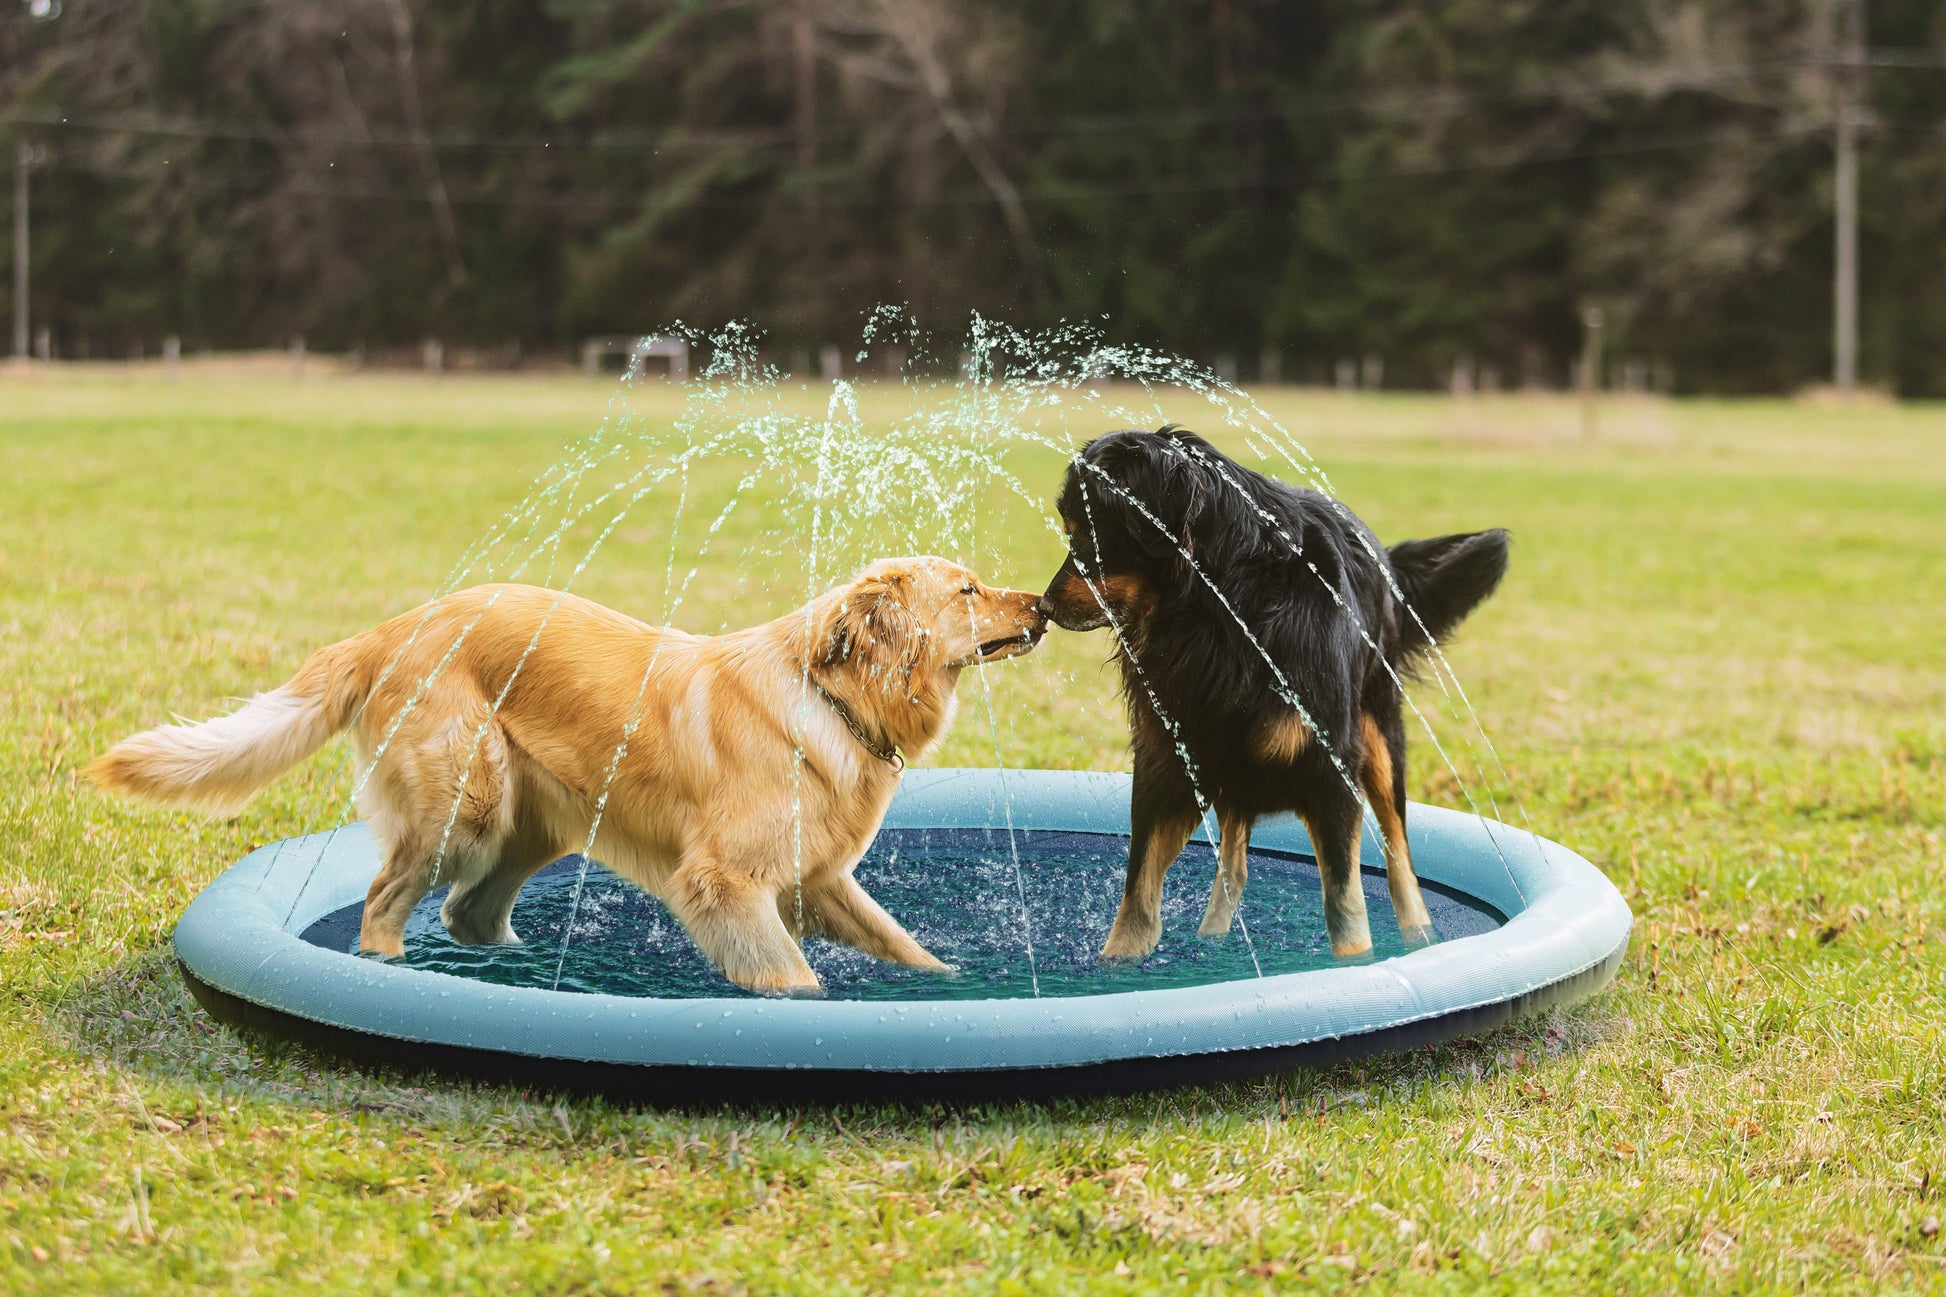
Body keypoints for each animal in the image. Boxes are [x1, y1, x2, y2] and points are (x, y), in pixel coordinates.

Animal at [1043, 426, 1510, 958]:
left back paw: (1420, 938)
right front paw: (1117, 965)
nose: (1043, 607)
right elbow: (1137, 898)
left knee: (1401, 862)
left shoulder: (1329, 769)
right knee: (1236, 865)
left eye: (1087, 532)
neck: (1220, 610)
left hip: (1379, 732)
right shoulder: (1170, 756)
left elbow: (1346, 910)